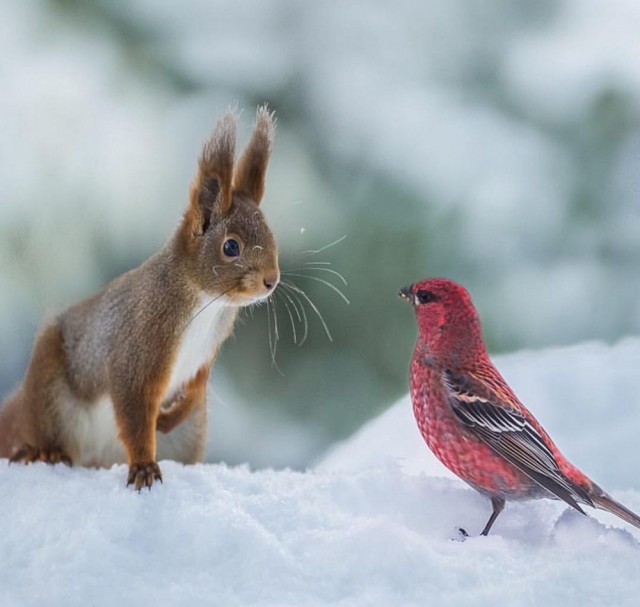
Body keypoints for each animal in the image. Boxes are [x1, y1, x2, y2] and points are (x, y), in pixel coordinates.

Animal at [0, 108, 280, 490]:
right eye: (231, 247)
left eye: (271, 234)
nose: (272, 280)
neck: (205, 302)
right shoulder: (138, 345)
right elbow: (134, 410)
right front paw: (145, 466)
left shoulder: (207, 351)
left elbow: (196, 387)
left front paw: (168, 416)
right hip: (49, 392)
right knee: (42, 431)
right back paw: (43, 450)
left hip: (188, 435)